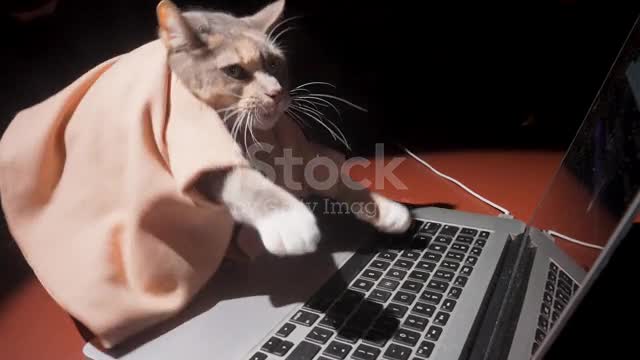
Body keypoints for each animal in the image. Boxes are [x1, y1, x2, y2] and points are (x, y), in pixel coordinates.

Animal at [158, 1, 412, 258]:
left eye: (273, 63)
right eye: (234, 71)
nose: (276, 92)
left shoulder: (298, 153)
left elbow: (331, 175)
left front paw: (383, 208)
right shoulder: (199, 152)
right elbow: (240, 180)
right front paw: (290, 221)